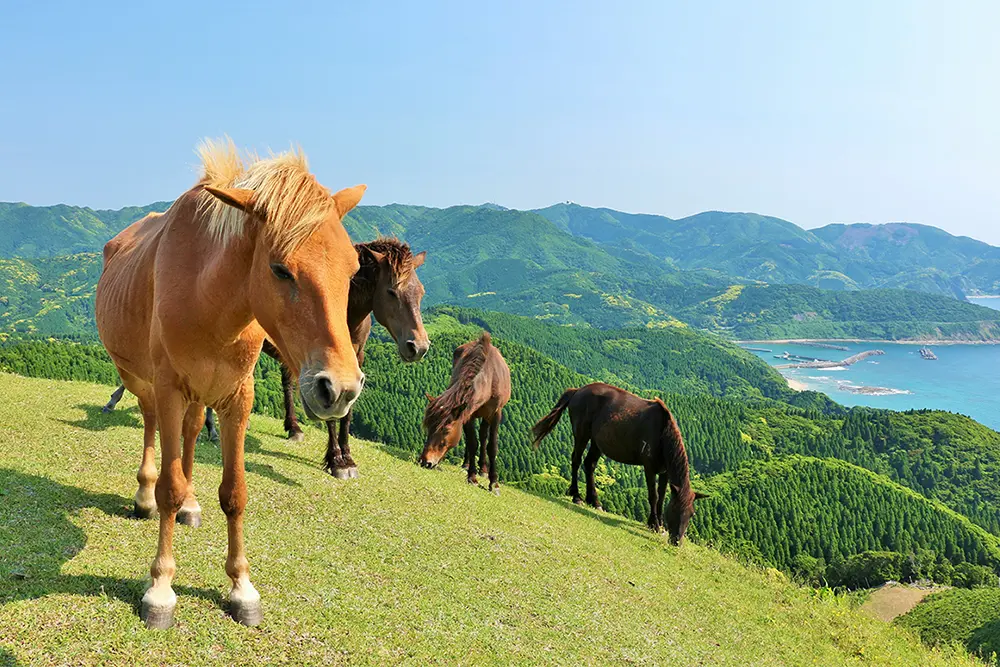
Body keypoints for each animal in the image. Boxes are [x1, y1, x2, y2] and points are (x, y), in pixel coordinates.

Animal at [94, 138, 366, 628]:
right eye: (280, 269)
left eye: (353, 270)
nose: (340, 388)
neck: (209, 300)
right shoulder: (169, 388)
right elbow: (167, 488)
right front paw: (160, 588)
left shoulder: (237, 397)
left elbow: (235, 492)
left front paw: (241, 586)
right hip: (141, 380)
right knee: (150, 425)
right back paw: (143, 495)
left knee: (187, 435)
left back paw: (191, 503)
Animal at [418, 332, 512, 494]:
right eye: (428, 427)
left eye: (445, 431)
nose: (425, 461)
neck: (488, 380)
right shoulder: (467, 413)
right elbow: (472, 442)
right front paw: (472, 477)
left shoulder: (496, 413)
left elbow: (492, 446)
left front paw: (494, 483)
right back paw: (467, 465)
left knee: (484, 435)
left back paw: (483, 469)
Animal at [528, 380, 708, 544]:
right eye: (676, 510)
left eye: (691, 514)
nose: (677, 541)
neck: (663, 434)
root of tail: (578, 390)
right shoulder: (649, 468)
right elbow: (654, 495)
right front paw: (654, 524)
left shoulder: (664, 471)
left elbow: (662, 496)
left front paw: (658, 523)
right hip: (581, 434)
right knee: (576, 460)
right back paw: (576, 496)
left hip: (597, 441)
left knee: (589, 464)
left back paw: (594, 501)